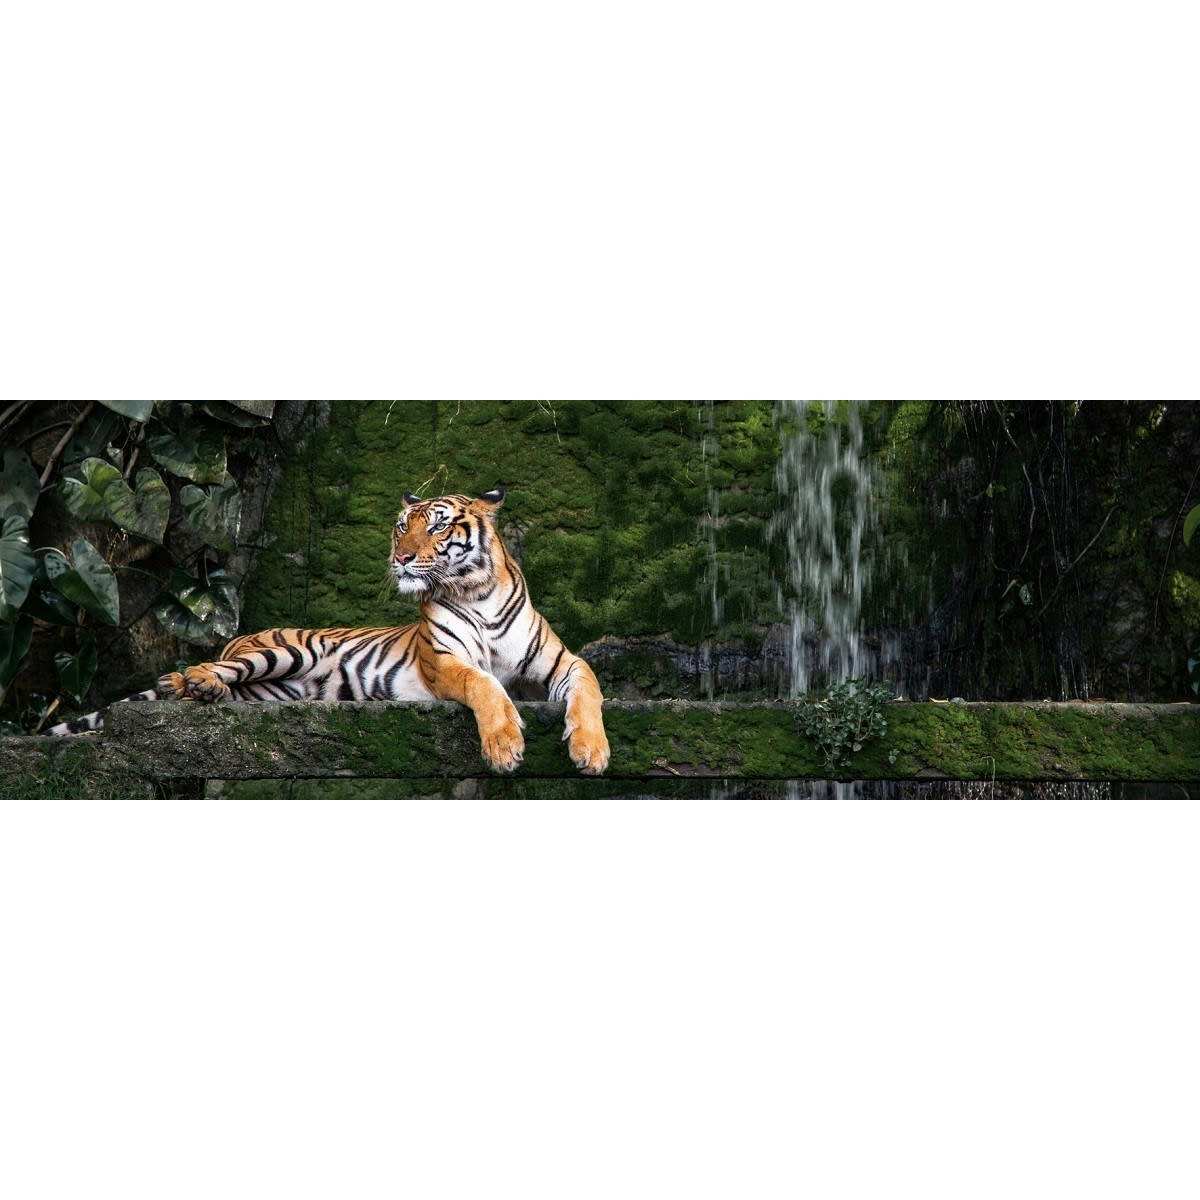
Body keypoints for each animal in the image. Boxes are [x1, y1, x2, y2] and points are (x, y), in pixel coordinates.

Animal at [45, 488, 611, 775]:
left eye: (439, 525)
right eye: (402, 525)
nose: (401, 557)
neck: (478, 592)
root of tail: (239, 637)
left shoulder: (562, 663)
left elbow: (589, 690)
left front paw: (592, 751)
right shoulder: (446, 662)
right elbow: (485, 684)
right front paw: (504, 746)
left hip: (271, 691)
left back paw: (199, 691)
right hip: (278, 653)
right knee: (207, 666)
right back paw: (192, 681)